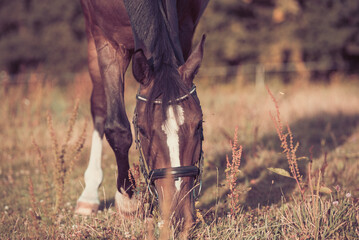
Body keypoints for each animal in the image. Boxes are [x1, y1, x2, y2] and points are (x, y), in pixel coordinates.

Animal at [76, 0, 210, 228]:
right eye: (142, 131)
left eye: (199, 125)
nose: (179, 216)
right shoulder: (107, 41)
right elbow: (117, 129)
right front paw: (128, 203)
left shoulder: (185, 27)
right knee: (100, 105)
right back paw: (89, 194)